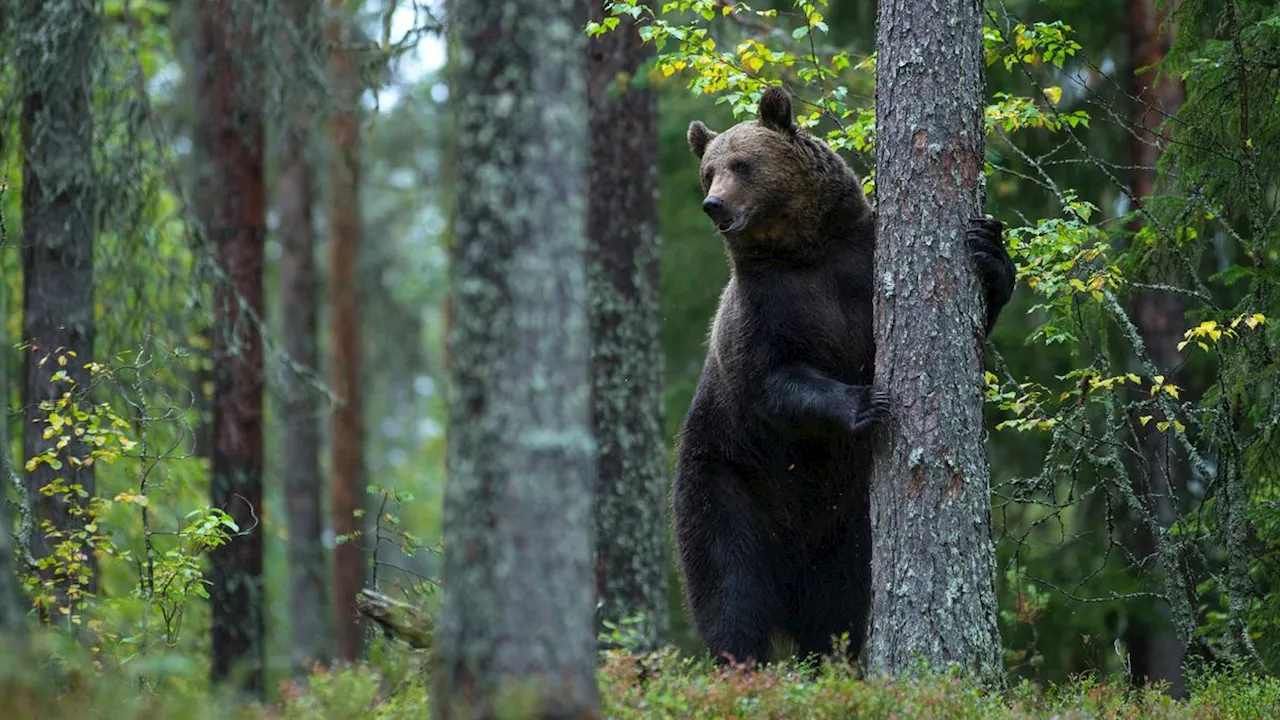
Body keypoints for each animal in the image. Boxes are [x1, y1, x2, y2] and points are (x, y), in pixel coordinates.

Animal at [675, 87, 1013, 666]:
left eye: (741, 164)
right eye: (709, 171)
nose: (713, 205)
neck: (805, 251)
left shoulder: (859, 266)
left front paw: (990, 251)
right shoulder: (764, 310)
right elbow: (772, 381)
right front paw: (866, 402)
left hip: (846, 522)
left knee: (837, 605)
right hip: (723, 474)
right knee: (728, 583)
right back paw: (742, 663)